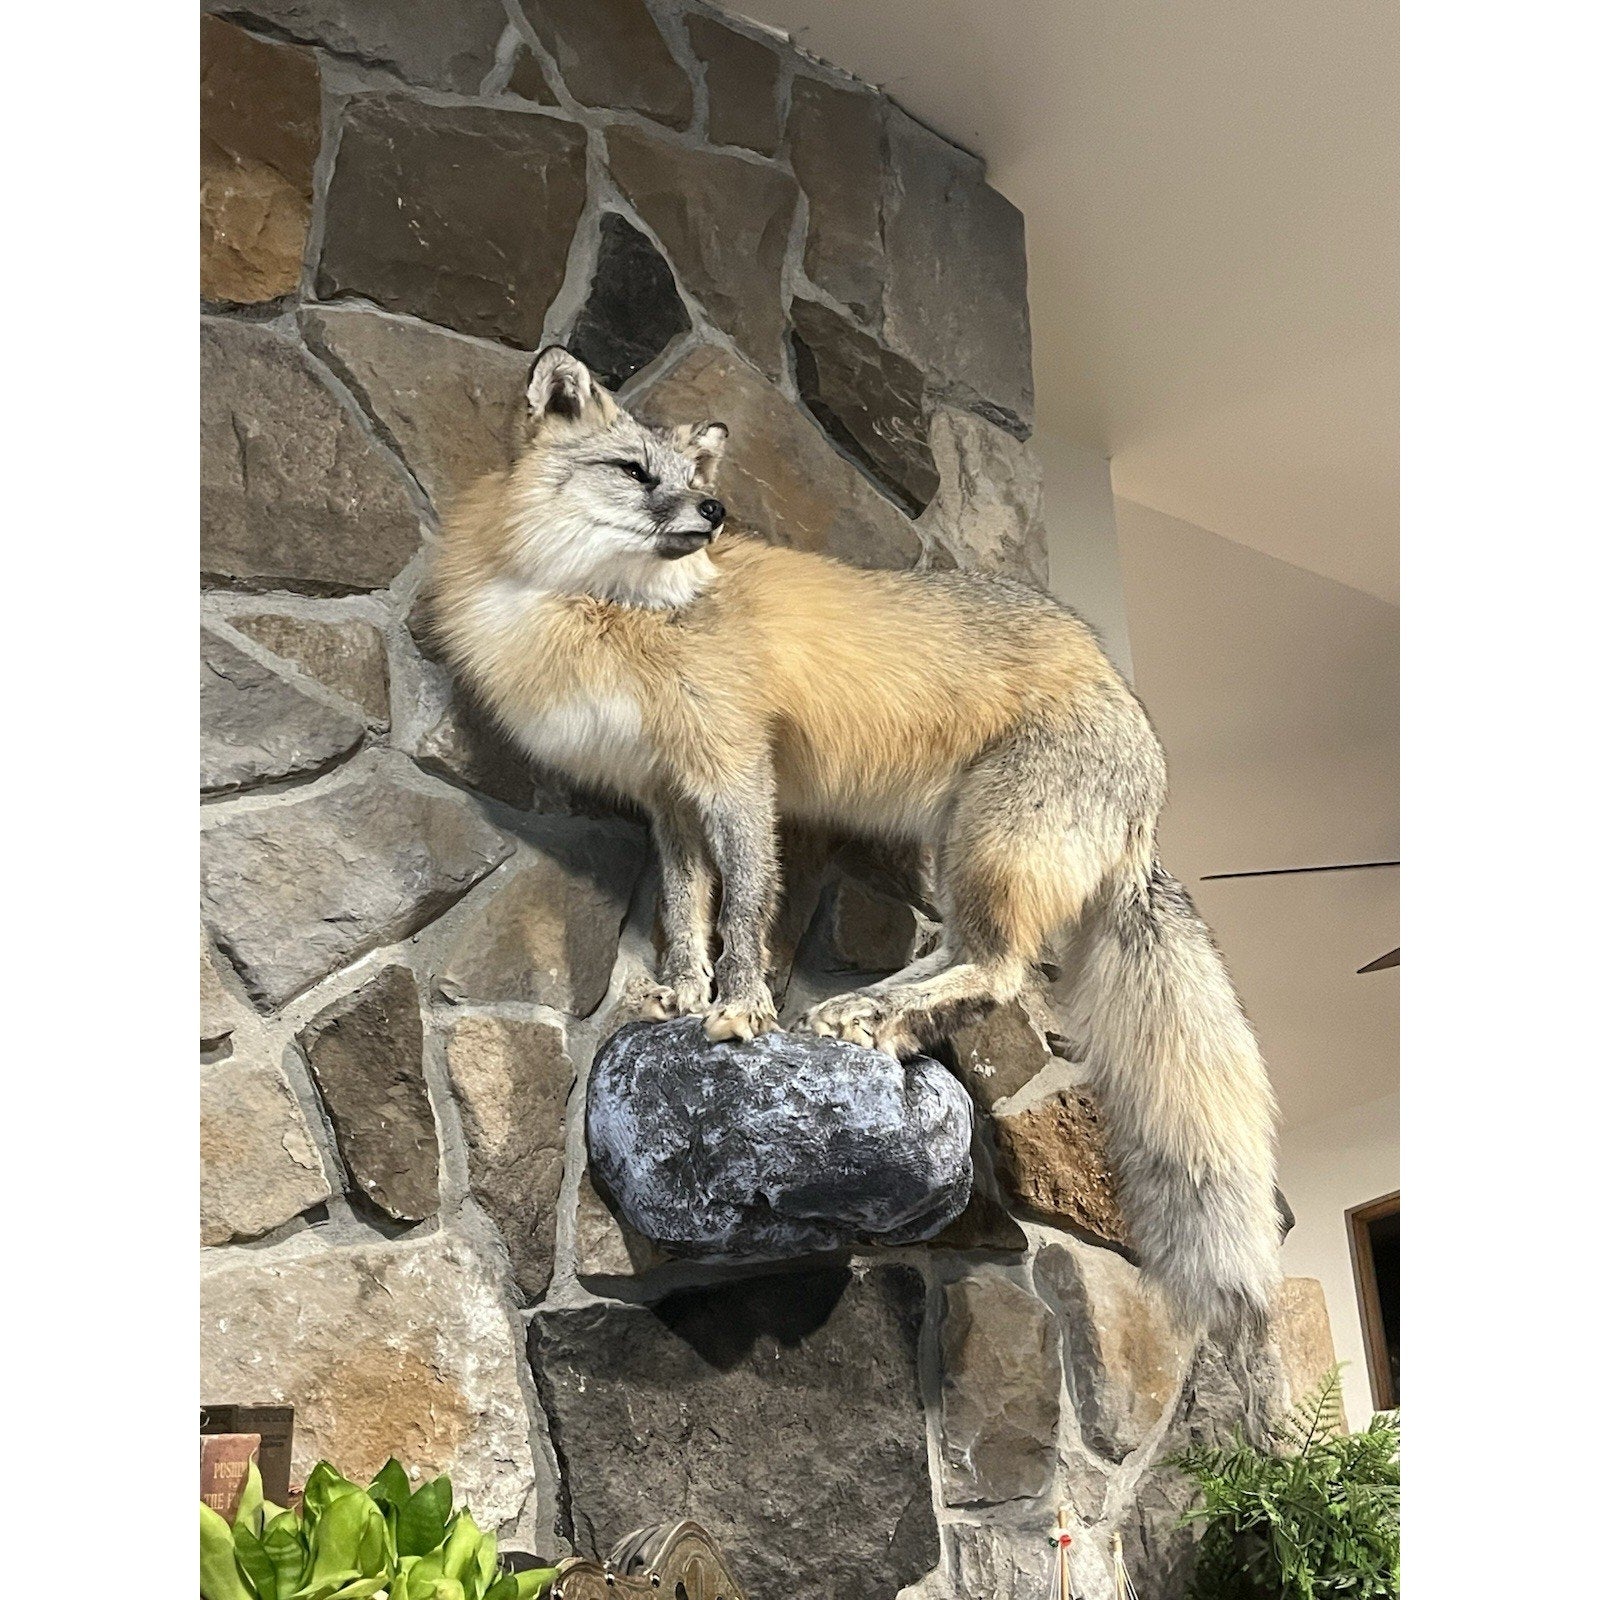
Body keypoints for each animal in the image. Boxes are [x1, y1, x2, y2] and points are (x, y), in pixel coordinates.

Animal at [429, 346, 1281, 1333]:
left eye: (693, 482)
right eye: (635, 472)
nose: (715, 512)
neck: (612, 612)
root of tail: (1146, 757)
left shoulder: (736, 770)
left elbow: (746, 907)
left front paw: (741, 1007)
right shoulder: (667, 798)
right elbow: (684, 910)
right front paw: (680, 994)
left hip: (987, 848)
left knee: (1000, 972)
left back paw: (869, 1012)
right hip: (959, 851)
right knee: (967, 956)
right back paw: (863, 1005)